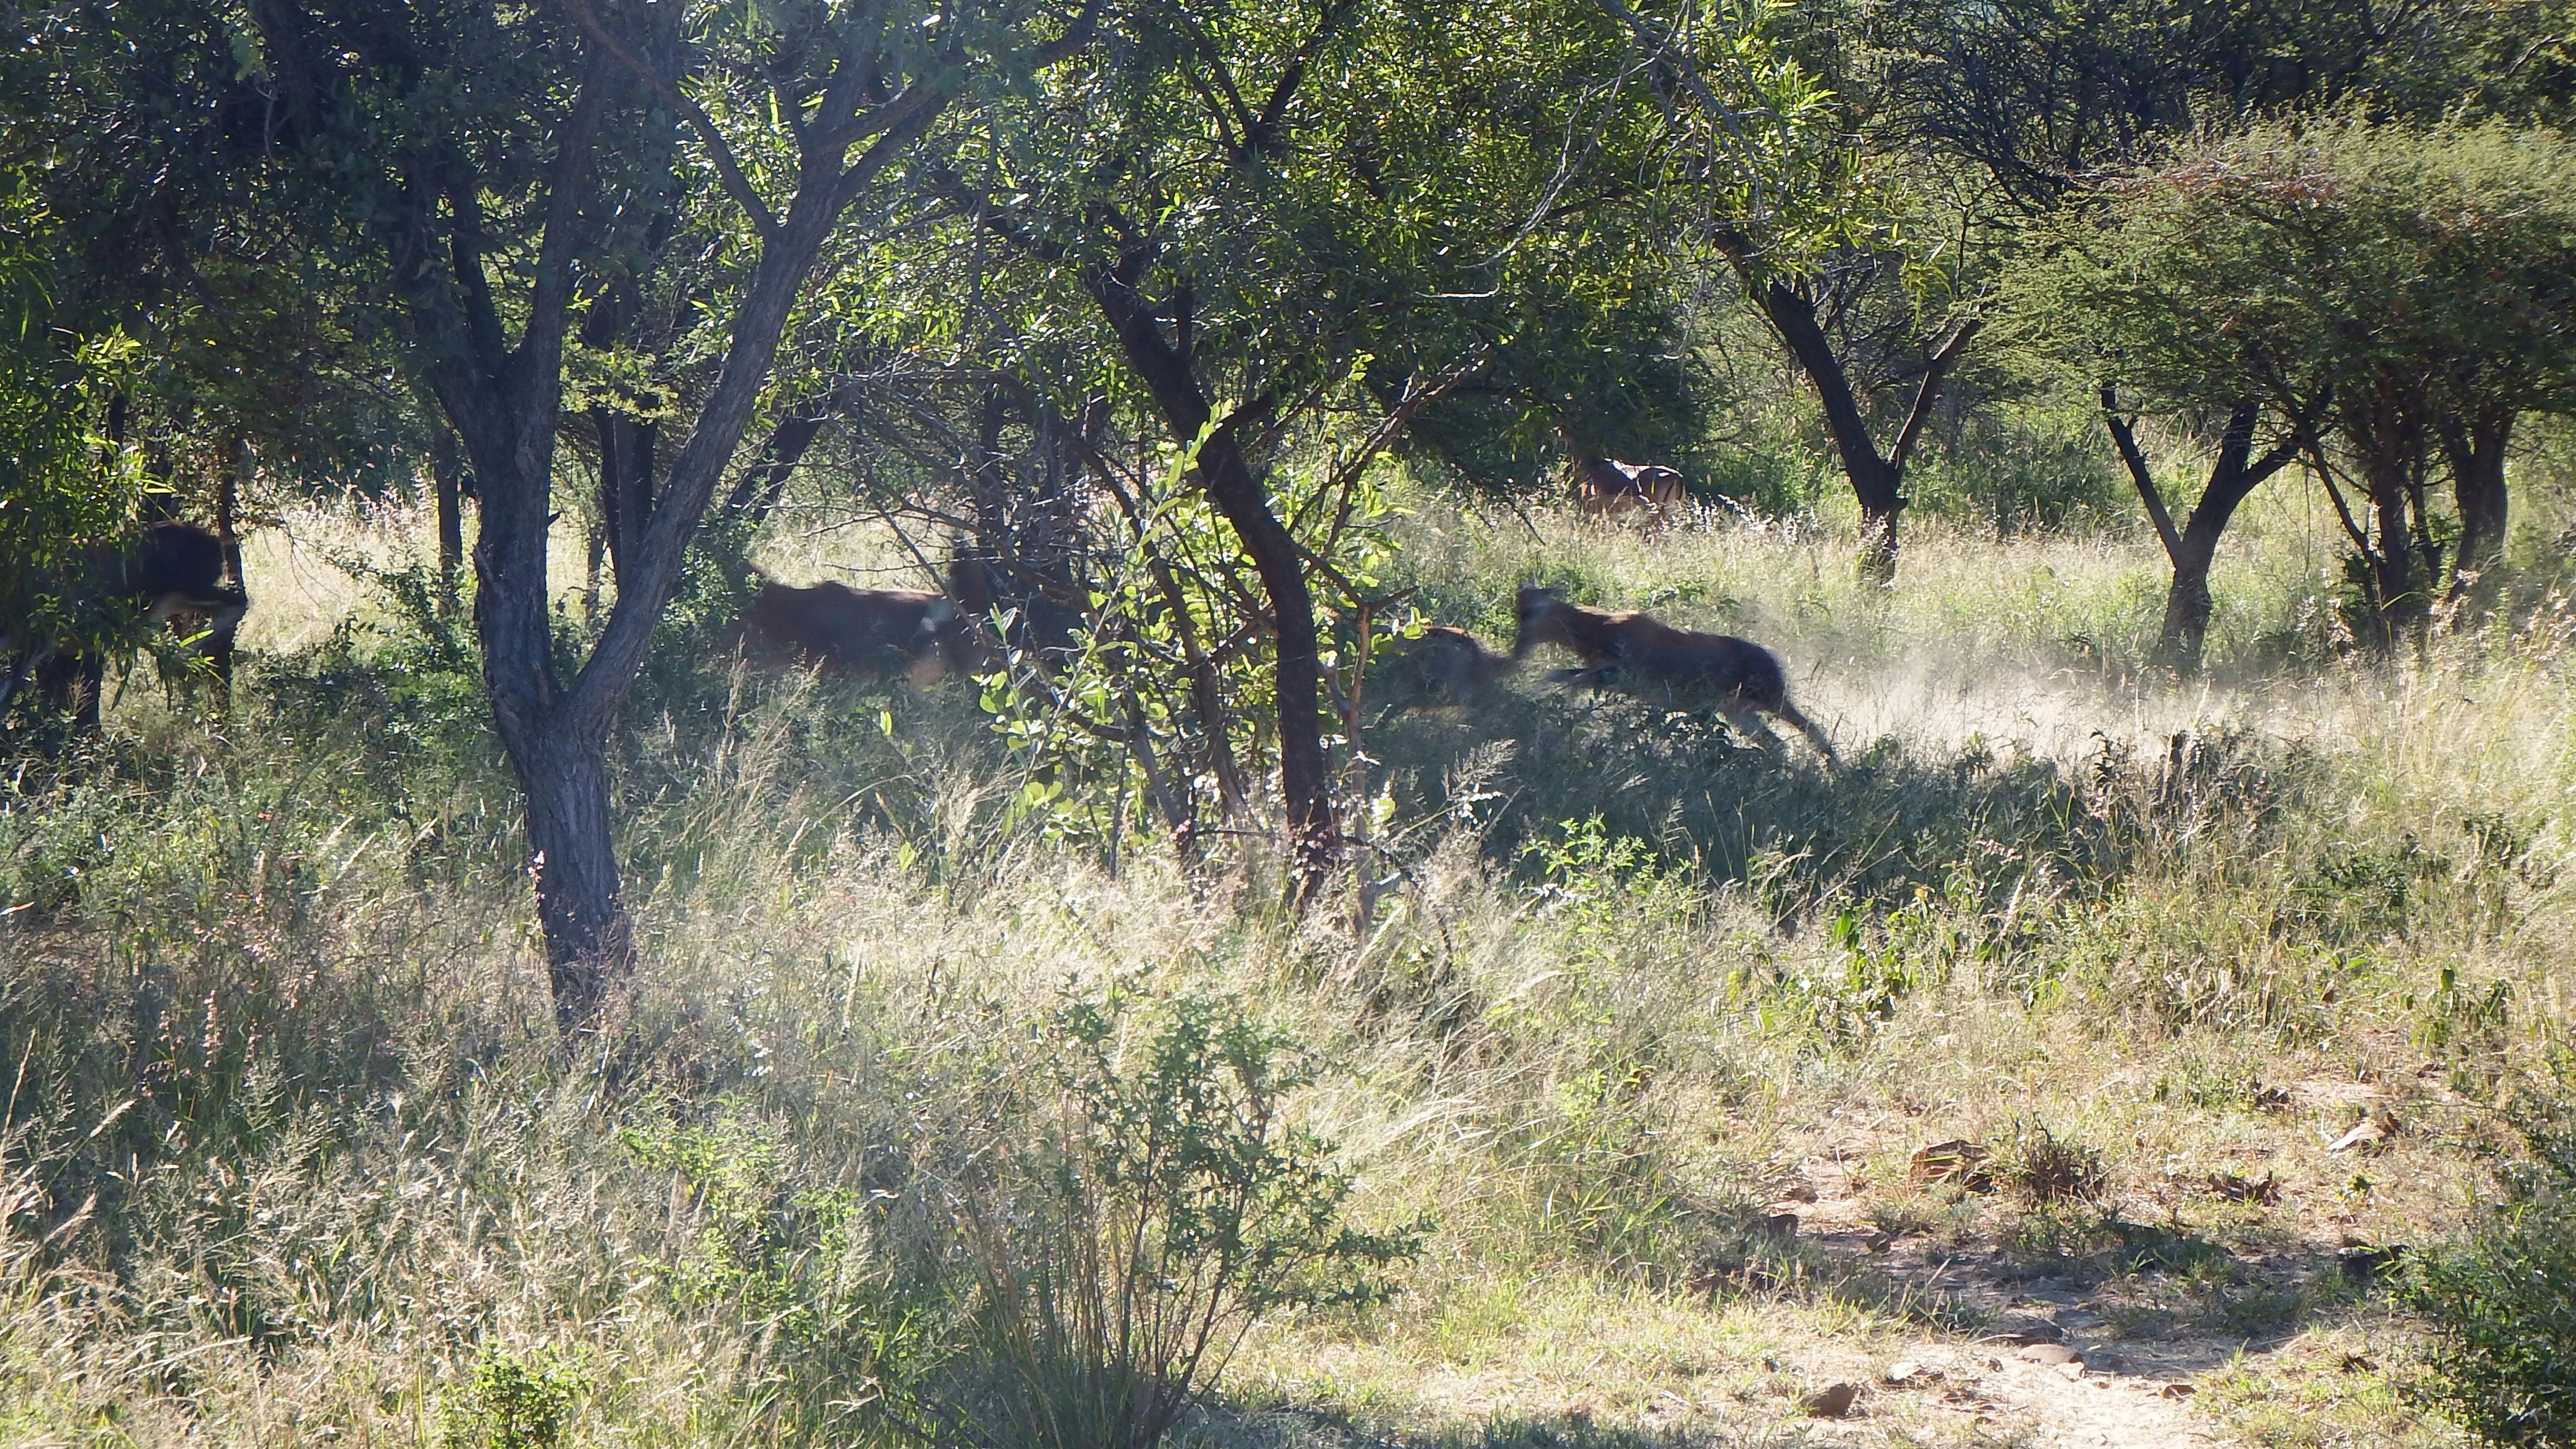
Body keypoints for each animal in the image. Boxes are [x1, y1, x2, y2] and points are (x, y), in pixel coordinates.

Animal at [1, 521, 249, 730]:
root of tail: (214, 542)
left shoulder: (40, 637)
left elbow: (7, 692)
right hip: (175, 598)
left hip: (186, 587)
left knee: (240, 601)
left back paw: (177, 658)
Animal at [1511, 587, 1834, 761]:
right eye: (1519, 611)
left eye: (1529, 614)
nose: (1516, 653)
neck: (1602, 627)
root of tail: (1772, 659)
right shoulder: (1606, 676)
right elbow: (1558, 675)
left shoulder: (1618, 677)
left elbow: (1569, 680)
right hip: (1740, 713)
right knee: (1778, 744)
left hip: (1773, 701)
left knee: (1813, 730)